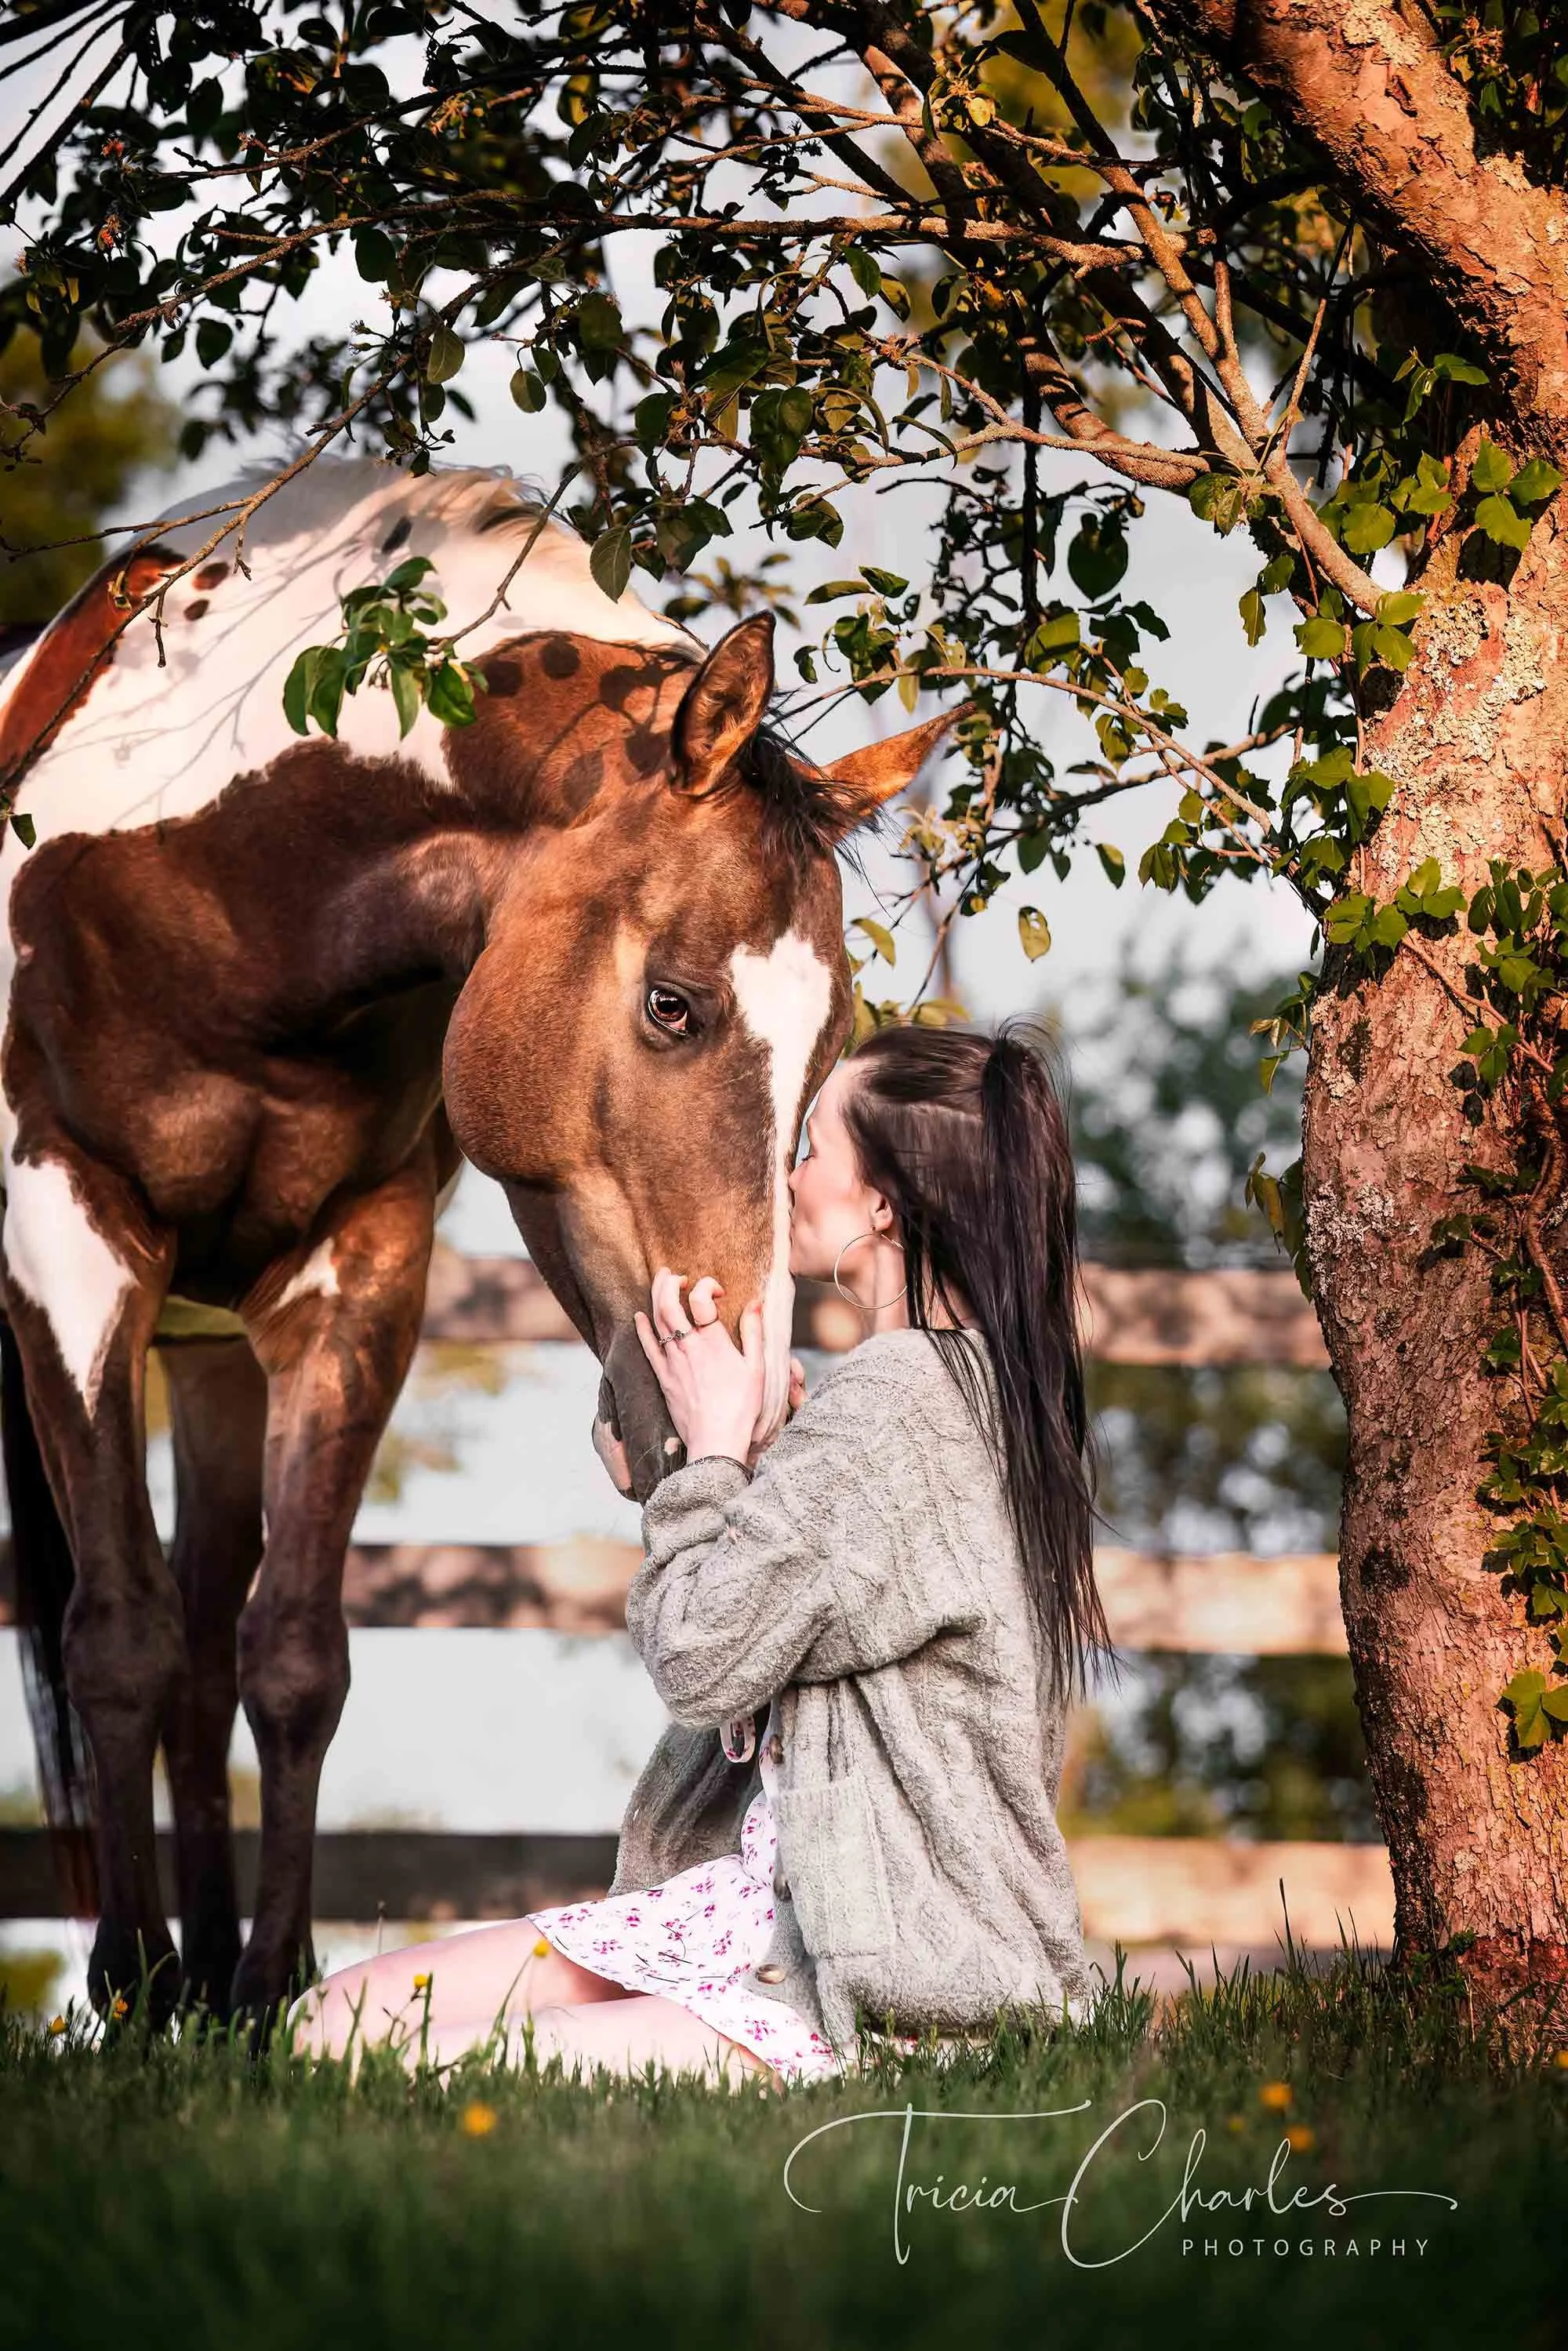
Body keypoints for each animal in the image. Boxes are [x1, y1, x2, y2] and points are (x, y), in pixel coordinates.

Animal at [0, 457, 957, 2024]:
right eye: (674, 1003)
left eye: (834, 1050)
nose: (749, 1405)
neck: (212, 884)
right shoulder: (68, 1241)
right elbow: (115, 1638)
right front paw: (130, 1986)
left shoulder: (357, 1271)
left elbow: (290, 1653)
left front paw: (262, 1994)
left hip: (211, 1352)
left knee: (209, 1646)